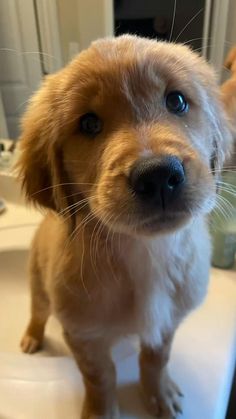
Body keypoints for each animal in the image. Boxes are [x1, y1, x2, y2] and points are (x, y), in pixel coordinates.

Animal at [17, 37, 231, 419]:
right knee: (37, 311)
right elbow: (100, 378)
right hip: (38, 282)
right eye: (88, 123)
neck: (145, 250)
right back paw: (31, 337)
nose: (158, 176)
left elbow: (156, 360)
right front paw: (101, 411)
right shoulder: (83, 334)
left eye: (177, 101)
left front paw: (159, 395)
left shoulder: (167, 322)